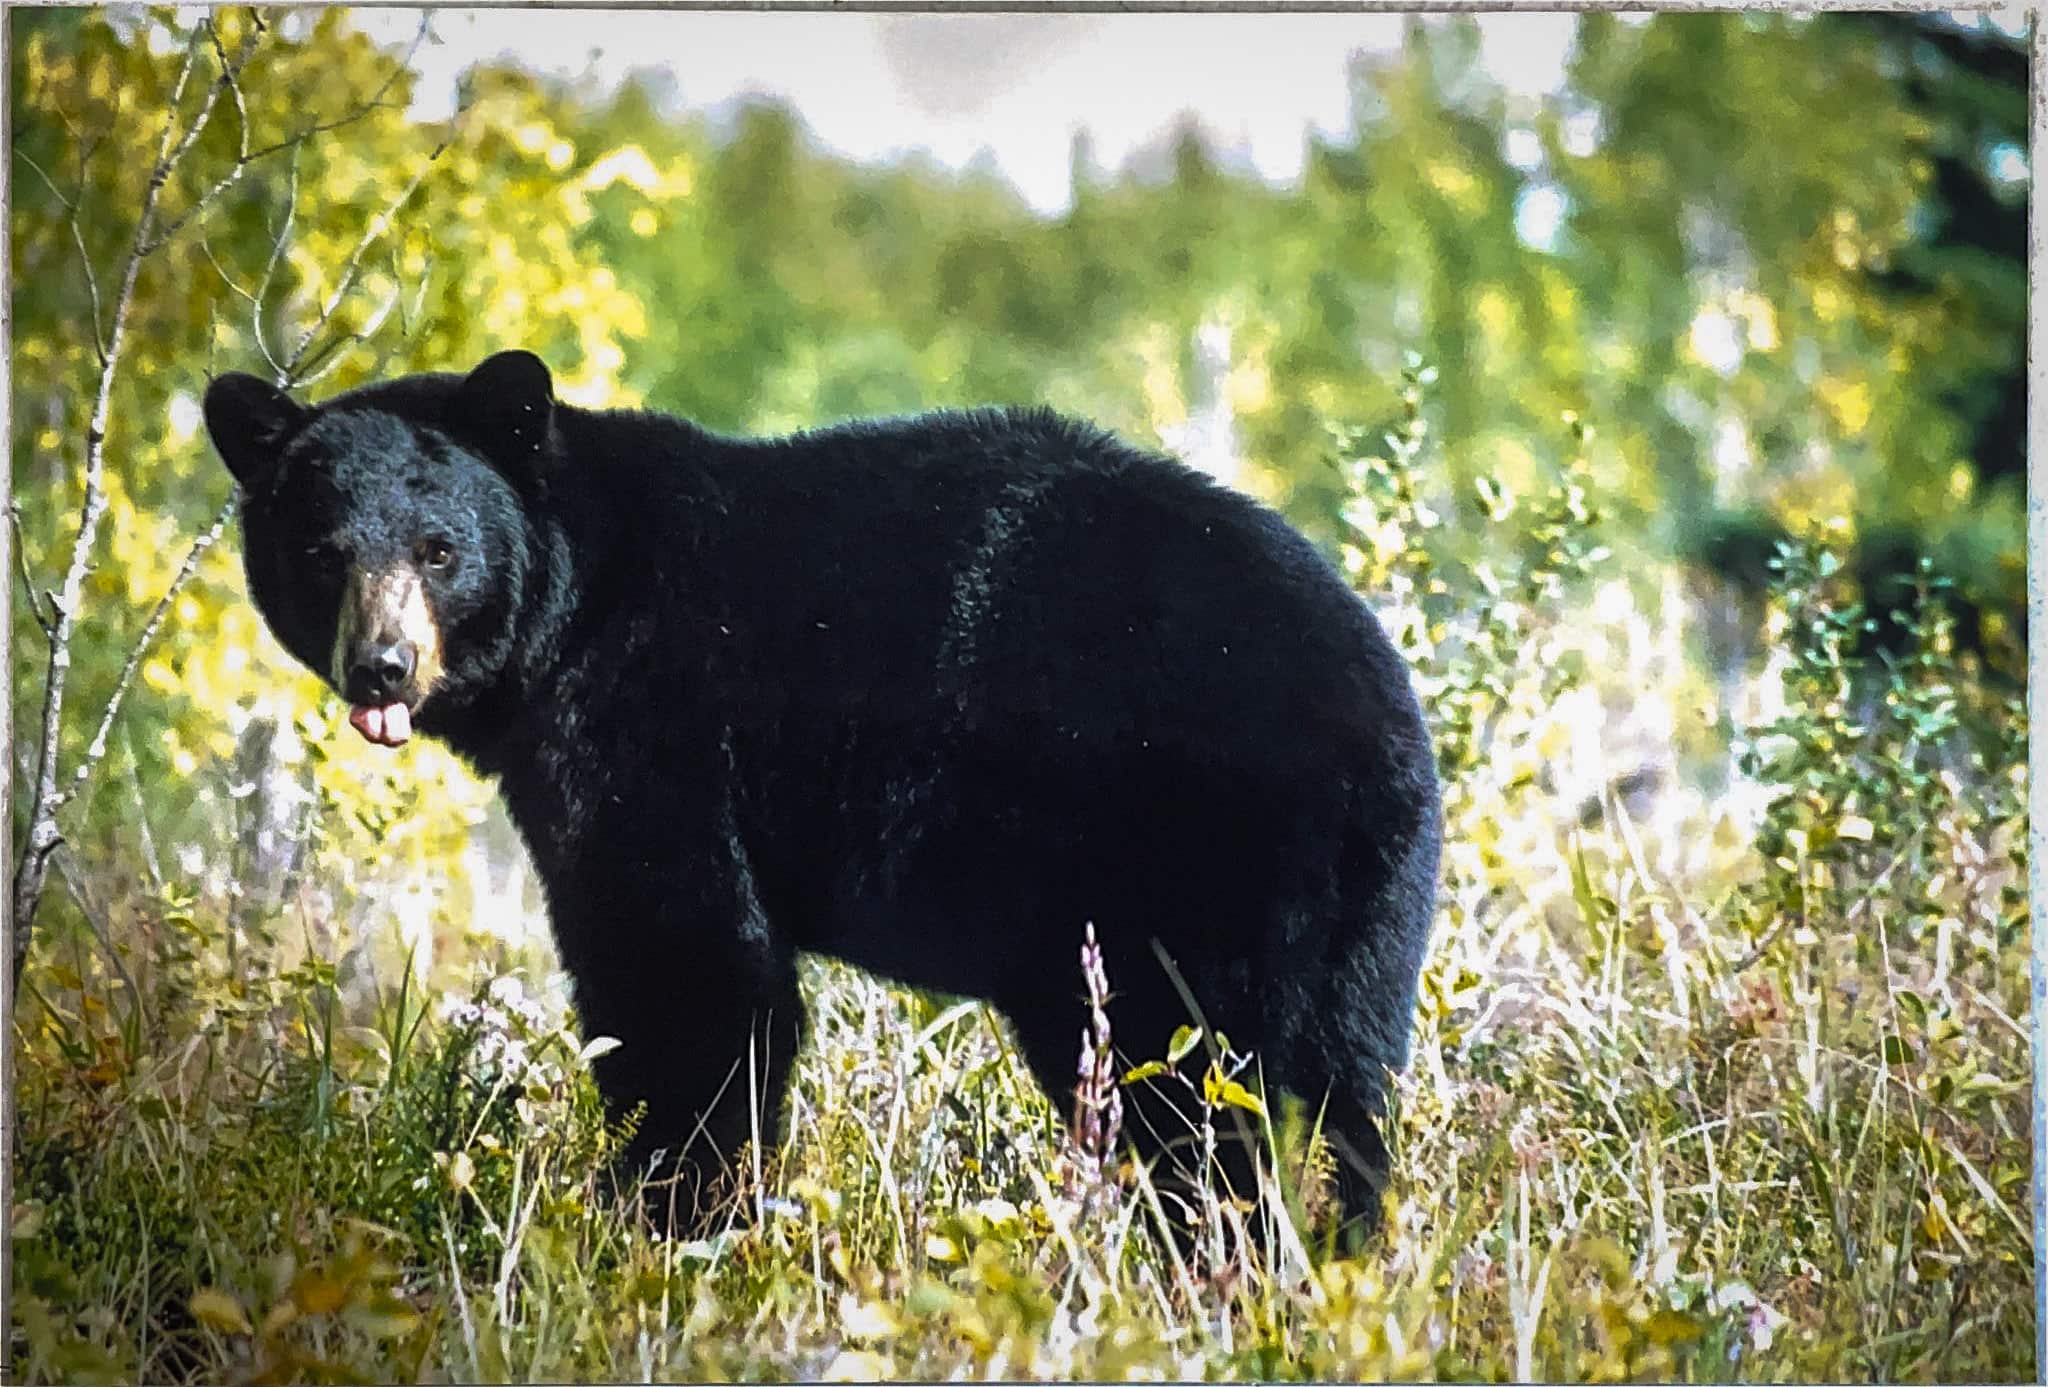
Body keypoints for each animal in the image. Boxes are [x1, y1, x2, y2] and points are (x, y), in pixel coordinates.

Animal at [199, 348, 1433, 1237]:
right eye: (321, 549)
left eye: (440, 548)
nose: (382, 667)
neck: (579, 602)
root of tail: (1379, 708)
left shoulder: (654, 721)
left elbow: (685, 964)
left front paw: (658, 1214)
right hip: (1340, 922)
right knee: (1334, 1091)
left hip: (1199, 857)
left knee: (1211, 1075)